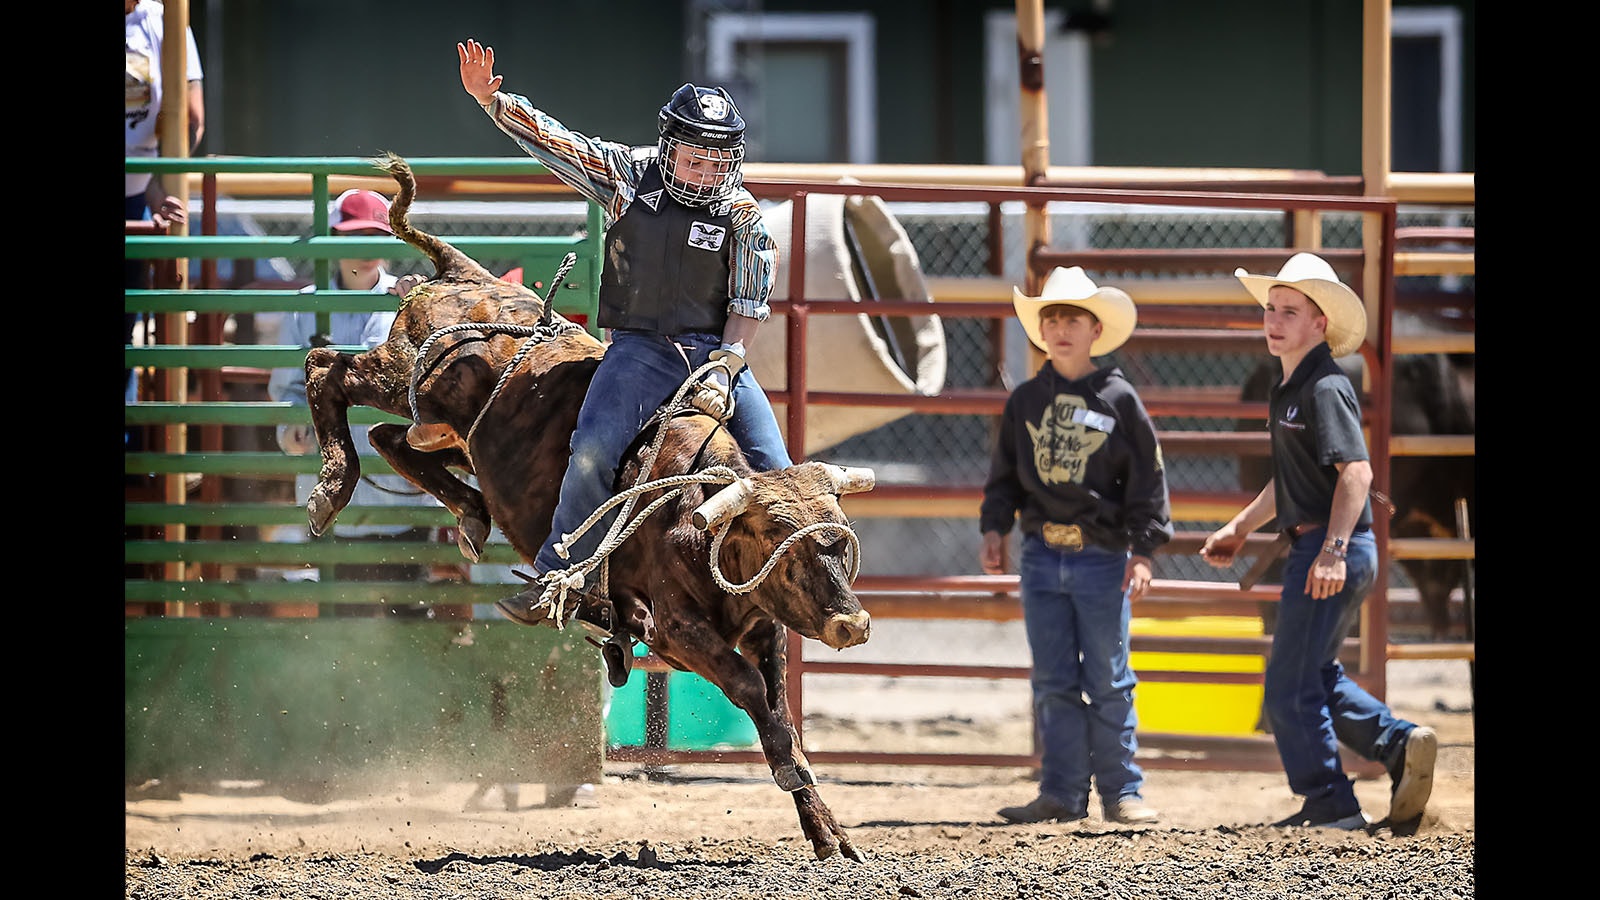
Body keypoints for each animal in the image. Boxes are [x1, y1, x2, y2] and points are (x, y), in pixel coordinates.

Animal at [300, 152, 876, 851]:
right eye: (779, 542)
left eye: (840, 539)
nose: (852, 624)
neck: (692, 516)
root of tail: (463, 274)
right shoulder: (676, 629)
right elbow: (752, 693)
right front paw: (795, 778)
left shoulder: (765, 625)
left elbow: (779, 705)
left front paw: (826, 831)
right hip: (411, 379)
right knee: (327, 369)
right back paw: (332, 488)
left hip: (442, 426)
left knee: (393, 437)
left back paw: (470, 513)